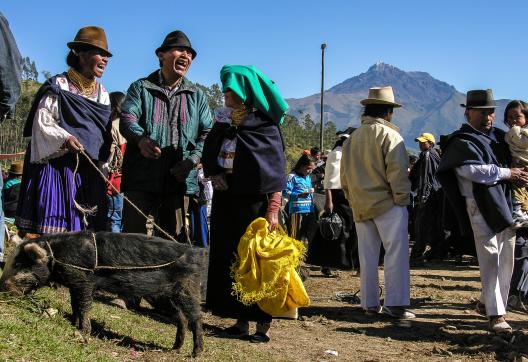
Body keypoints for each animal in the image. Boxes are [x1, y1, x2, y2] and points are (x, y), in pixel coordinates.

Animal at [0, 232, 205, 356]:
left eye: (20, 264)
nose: (2, 288)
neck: (57, 256)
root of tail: (194, 253)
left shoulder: (84, 280)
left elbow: (84, 306)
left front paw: (81, 332)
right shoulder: (74, 284)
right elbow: (75, 304)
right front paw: (72, 323)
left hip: (186, 289)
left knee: (196, 317)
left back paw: (195, 353)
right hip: (162, 296)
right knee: (181, 318)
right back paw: (174, 349)